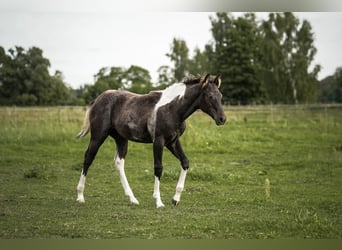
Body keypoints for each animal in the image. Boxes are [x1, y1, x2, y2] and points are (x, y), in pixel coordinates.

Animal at [77, 73, 227, 207]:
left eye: (220, 96)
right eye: (210, 96)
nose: (222, 119)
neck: (173, 109)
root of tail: (97, 99)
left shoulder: (173, 142)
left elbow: (185, 162)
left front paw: (175, 199)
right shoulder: (158, 141)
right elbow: (158, 168)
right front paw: (159, 201)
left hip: (121, 139)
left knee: (119, 163)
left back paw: (132, 198)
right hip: (98, 136)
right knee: (88, 157)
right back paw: (80, 196)